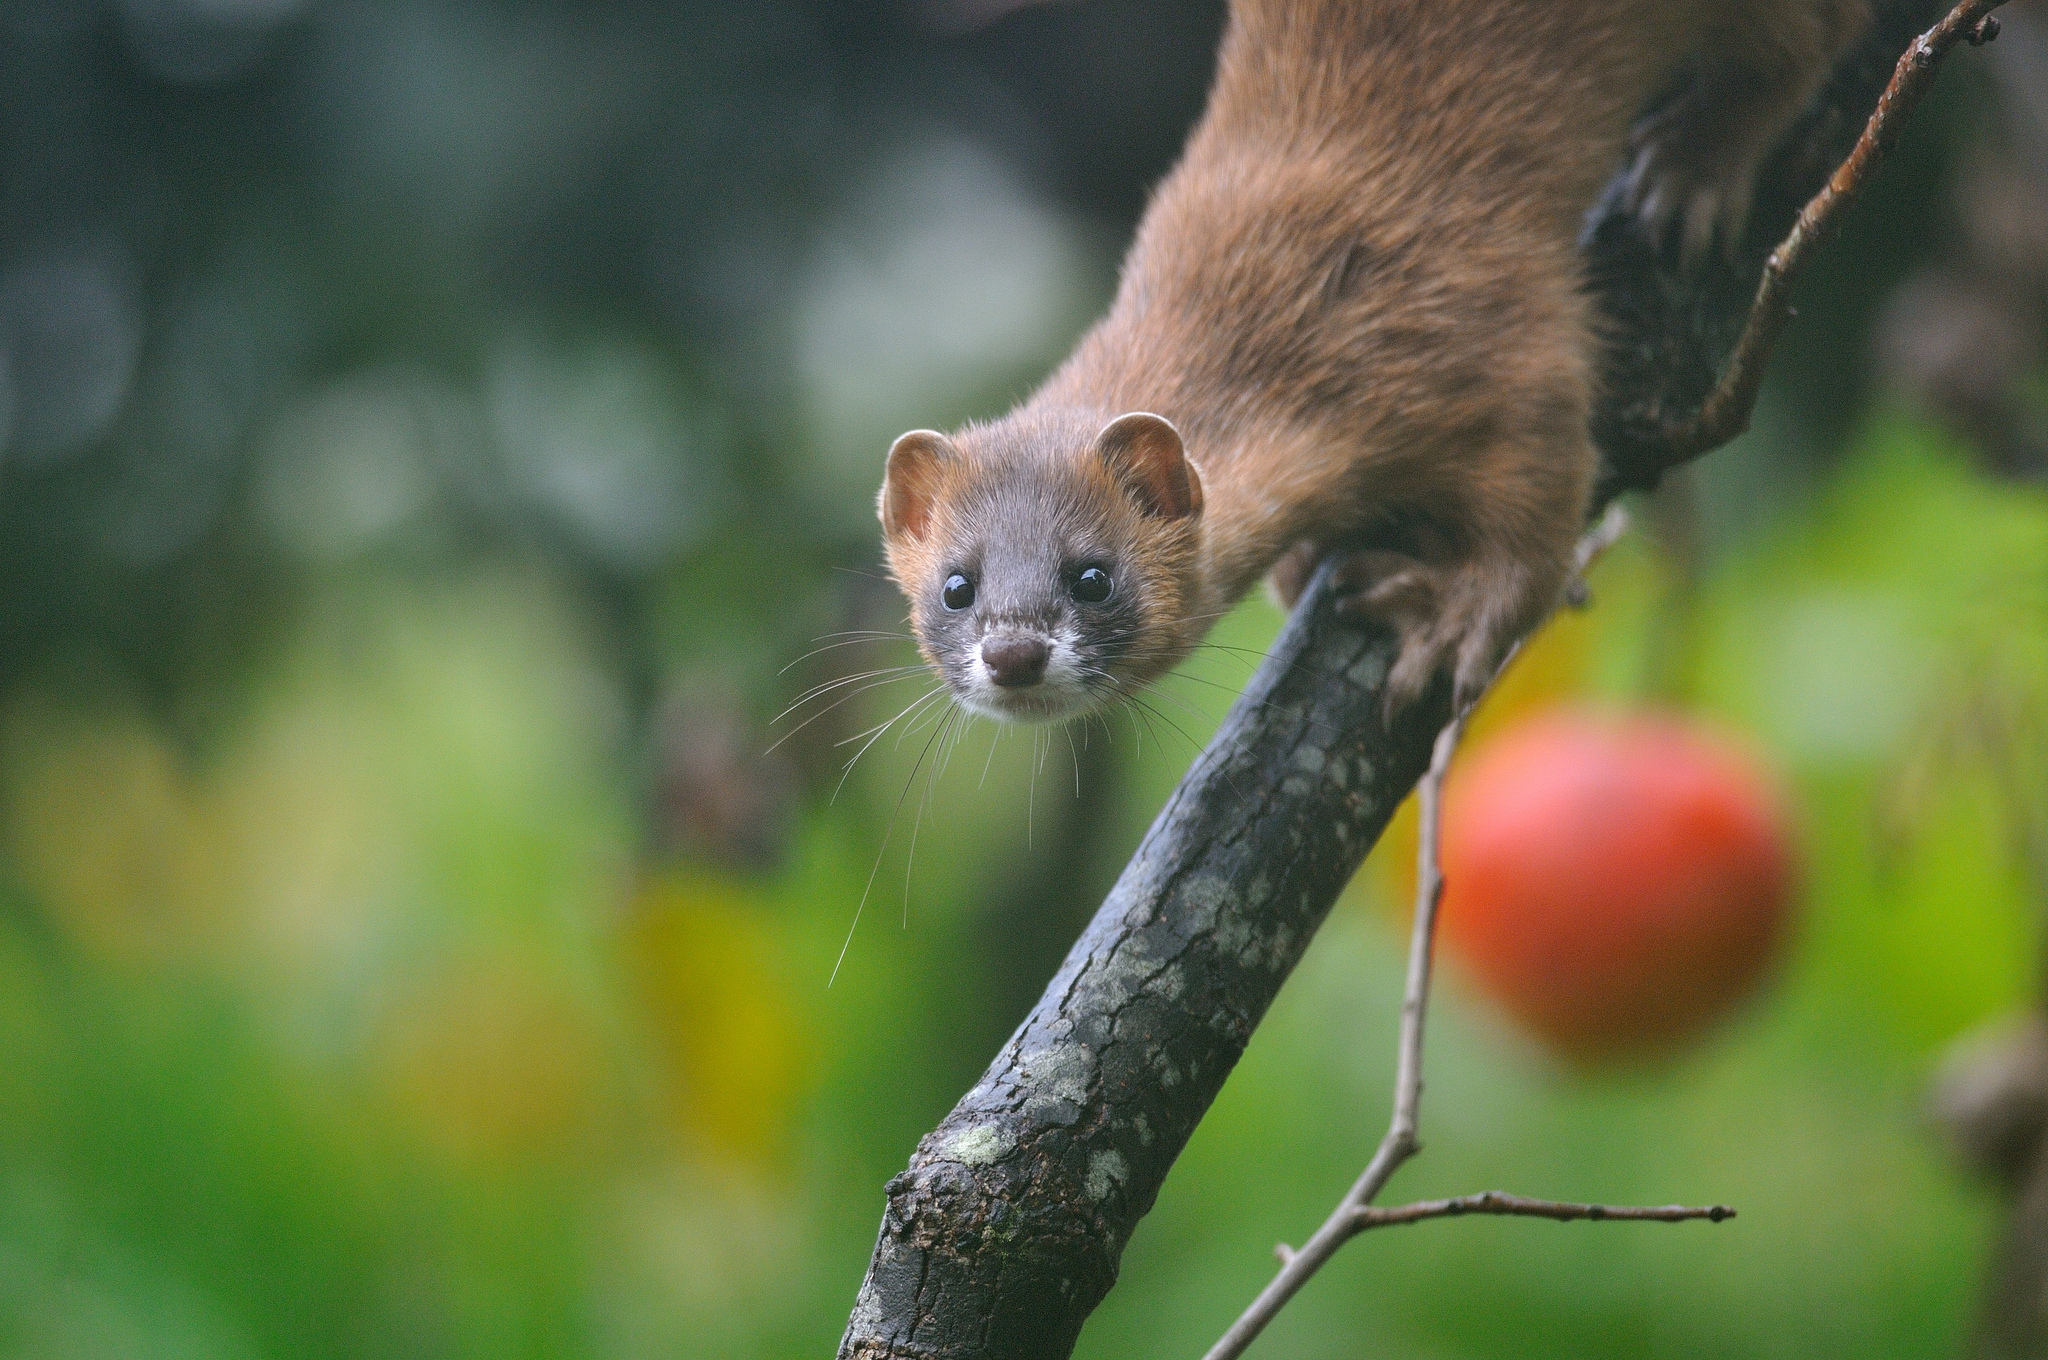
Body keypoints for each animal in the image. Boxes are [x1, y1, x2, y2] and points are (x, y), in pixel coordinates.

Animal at [872, 0, 1867, 720]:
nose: (1013, 652)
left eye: (1092, 574)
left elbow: (1540, 493)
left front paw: (1455, 619)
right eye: (956, 585)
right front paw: (1306, 562)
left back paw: (1693, 166)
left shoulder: (1489, 326)